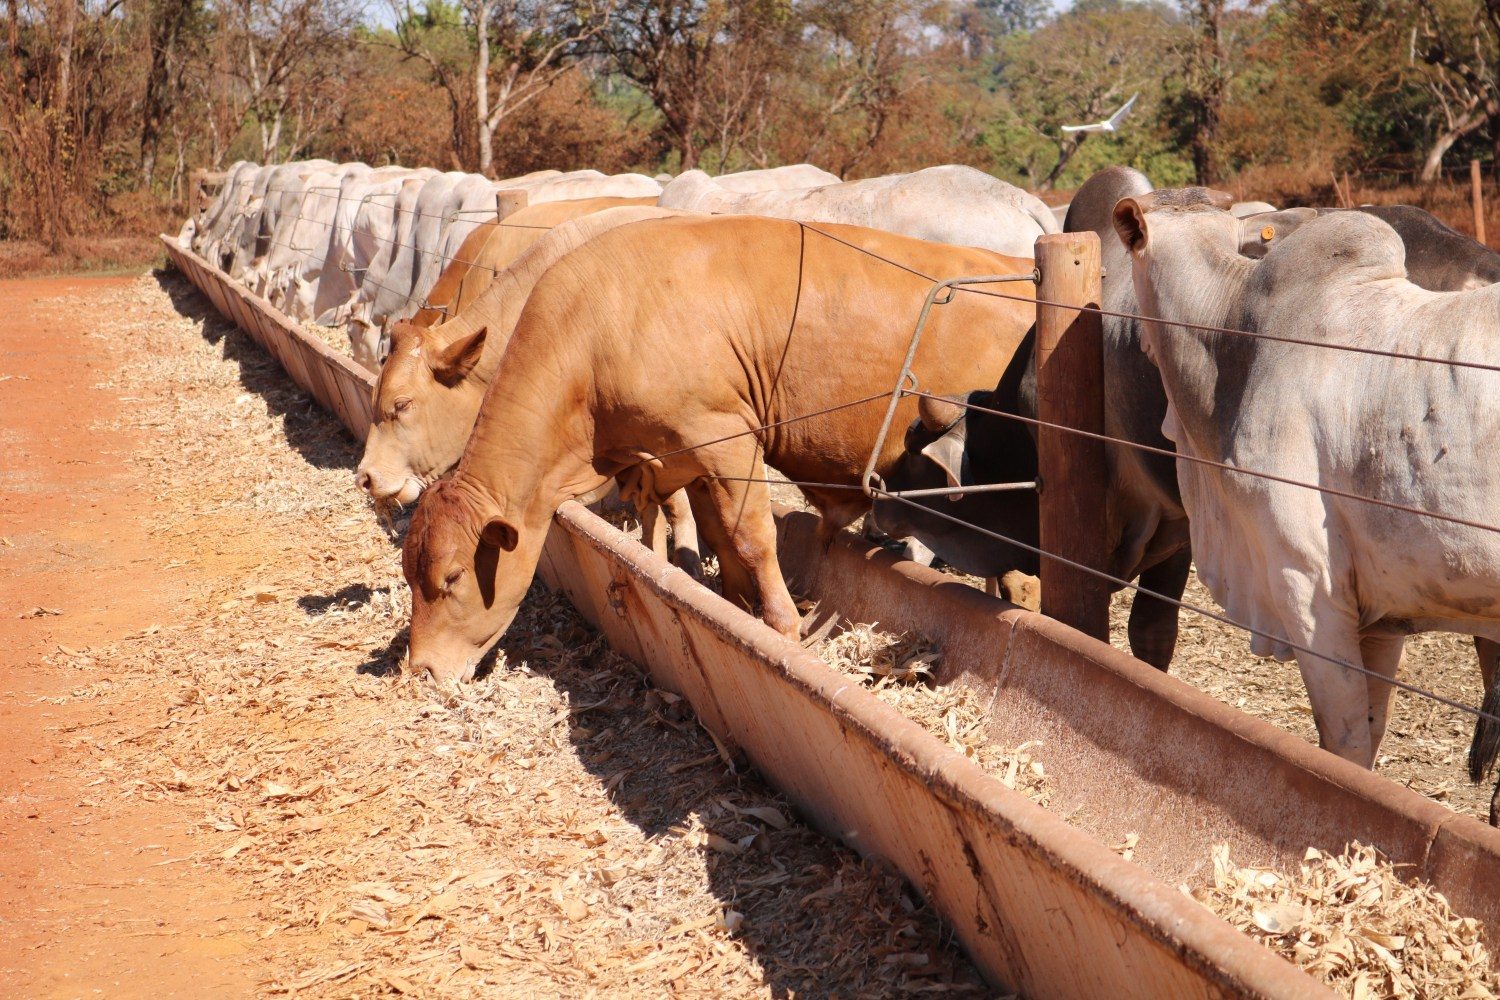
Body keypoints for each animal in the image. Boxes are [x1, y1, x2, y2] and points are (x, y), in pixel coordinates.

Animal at [393, 211, 1038, 680]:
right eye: (408, 575)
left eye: (452, 577)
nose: (419, 669)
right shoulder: (685, 459)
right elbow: (718, 535)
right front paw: (732, 604)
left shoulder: (725, 437)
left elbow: (754, 538)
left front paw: (783, 627)